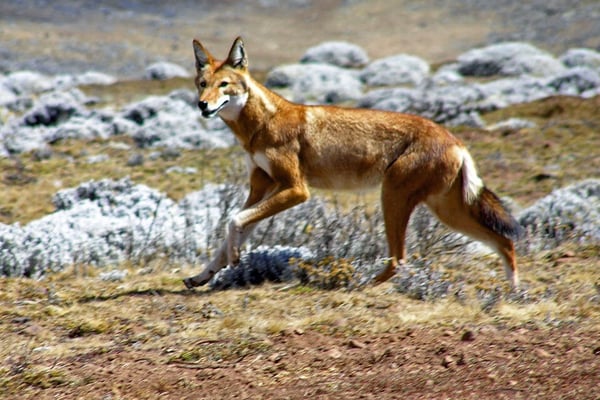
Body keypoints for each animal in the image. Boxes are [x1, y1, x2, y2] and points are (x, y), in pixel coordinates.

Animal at [180, 36, 524, 288]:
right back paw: (512, 295)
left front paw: (234, 260)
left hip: (395, 200)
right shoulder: (263, 188)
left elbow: (233, 221)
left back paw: (360, 285)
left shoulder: (296, 190)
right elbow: (233, 230)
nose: (202, 106)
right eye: (202, 84)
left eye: (224, 85)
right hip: (446, 211)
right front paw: (203, 275)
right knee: (504, 242)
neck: (263, 124)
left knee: (400, 259)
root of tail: (455, 139)